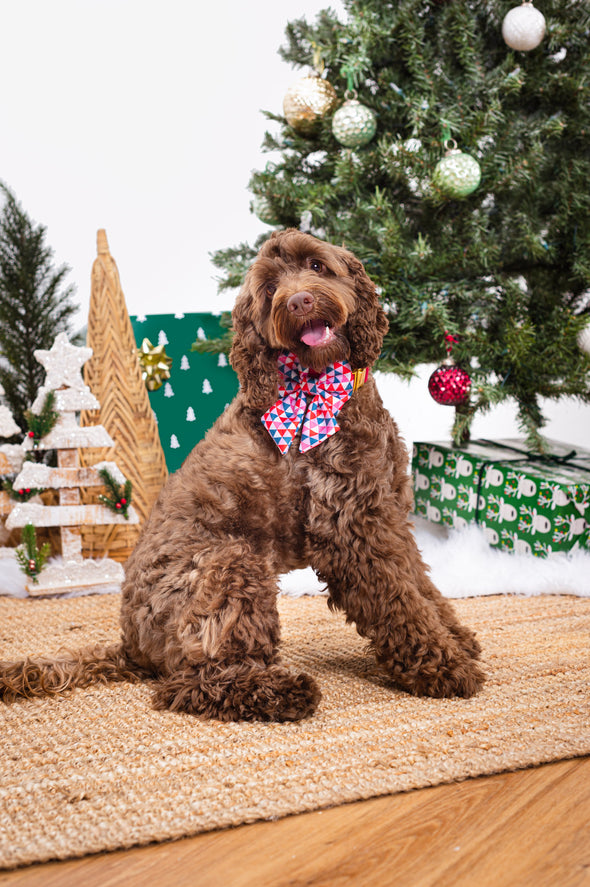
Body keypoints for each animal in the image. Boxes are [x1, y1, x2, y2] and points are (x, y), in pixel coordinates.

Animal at [0, 229, 486, 720]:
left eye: (316, 266)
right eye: (270, 289)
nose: (300, 301)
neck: (323, 386)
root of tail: (131, 645)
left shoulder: (386, 512)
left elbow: (419, 582)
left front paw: (455, 638)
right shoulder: (349, 531)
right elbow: (397, 600)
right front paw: (441, 666)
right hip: (230, 564)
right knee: (191, 683)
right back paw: (281, 692)